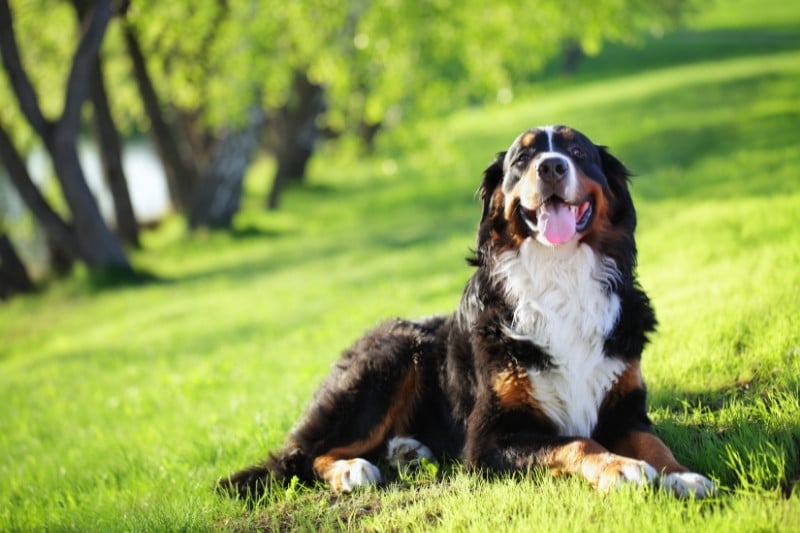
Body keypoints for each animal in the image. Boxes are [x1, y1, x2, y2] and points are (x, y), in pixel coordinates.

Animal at [222, 124, 716, 498]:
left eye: (577, 151)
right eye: (522, 159)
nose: (551, 166)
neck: (560, 276)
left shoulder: (625, 408)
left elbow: (653, 443)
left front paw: (684, 475)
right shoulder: (488, 438)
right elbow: (577, 441)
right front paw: (620, 468)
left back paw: (407, 451)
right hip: (391, 357)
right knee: (310, 454)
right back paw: (353, 470)